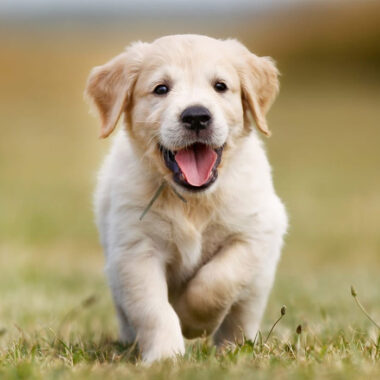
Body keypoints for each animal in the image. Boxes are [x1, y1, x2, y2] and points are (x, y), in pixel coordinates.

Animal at [85, 35, 288, 362]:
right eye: (161, 89)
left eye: (220, 86)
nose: (196, 116)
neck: (194, 201)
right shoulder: (135, 251)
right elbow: (154, 309)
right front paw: (166, 356)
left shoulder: (256, 232)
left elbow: (219, 280)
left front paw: (193, 321)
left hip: (258, 283)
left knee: (242, 314)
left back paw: (234, 347)